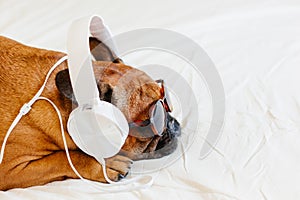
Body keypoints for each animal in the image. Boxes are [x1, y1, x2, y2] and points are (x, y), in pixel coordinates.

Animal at [0, 36, 180, 191]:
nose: (172, 124)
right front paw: (107, 164)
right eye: (150, 123)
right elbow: (62, 158)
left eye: (166, 104)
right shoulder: (9, 170)